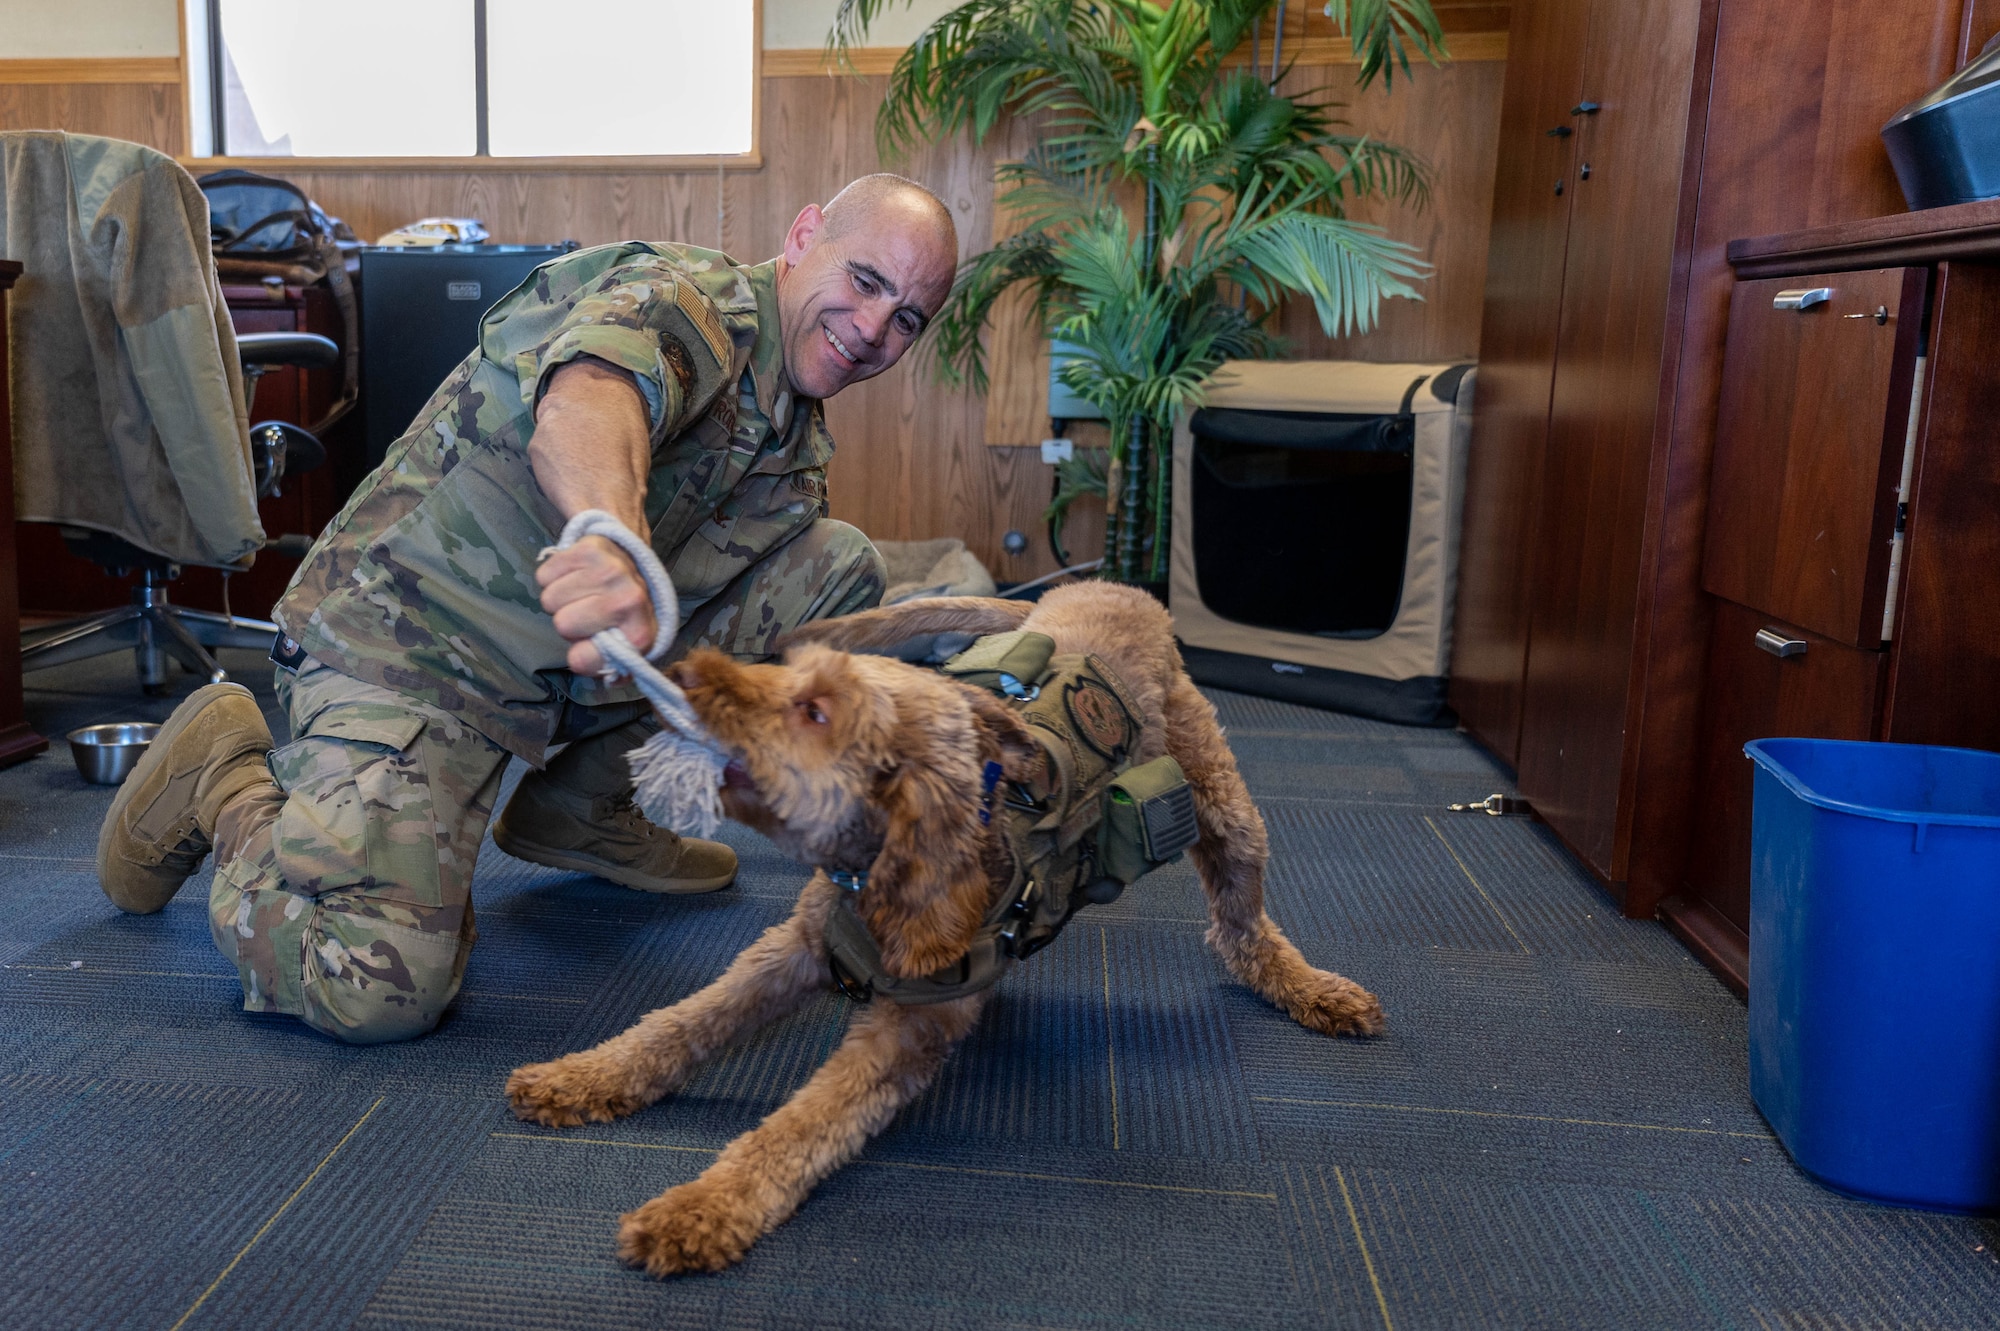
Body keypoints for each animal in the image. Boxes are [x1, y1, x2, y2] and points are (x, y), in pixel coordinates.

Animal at [504, 579, 1376, 1279]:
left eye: (815, 710)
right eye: (790, 673)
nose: (683, 668)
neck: (879, 867)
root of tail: (1115, 585)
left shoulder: (903, 1033)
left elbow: (797, 1127)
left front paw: (702, 1208)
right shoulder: (791, 951)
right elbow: (676, 1024)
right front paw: (584, 1076)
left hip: (1224, 806)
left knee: (1240, 929)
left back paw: (1313, 988)